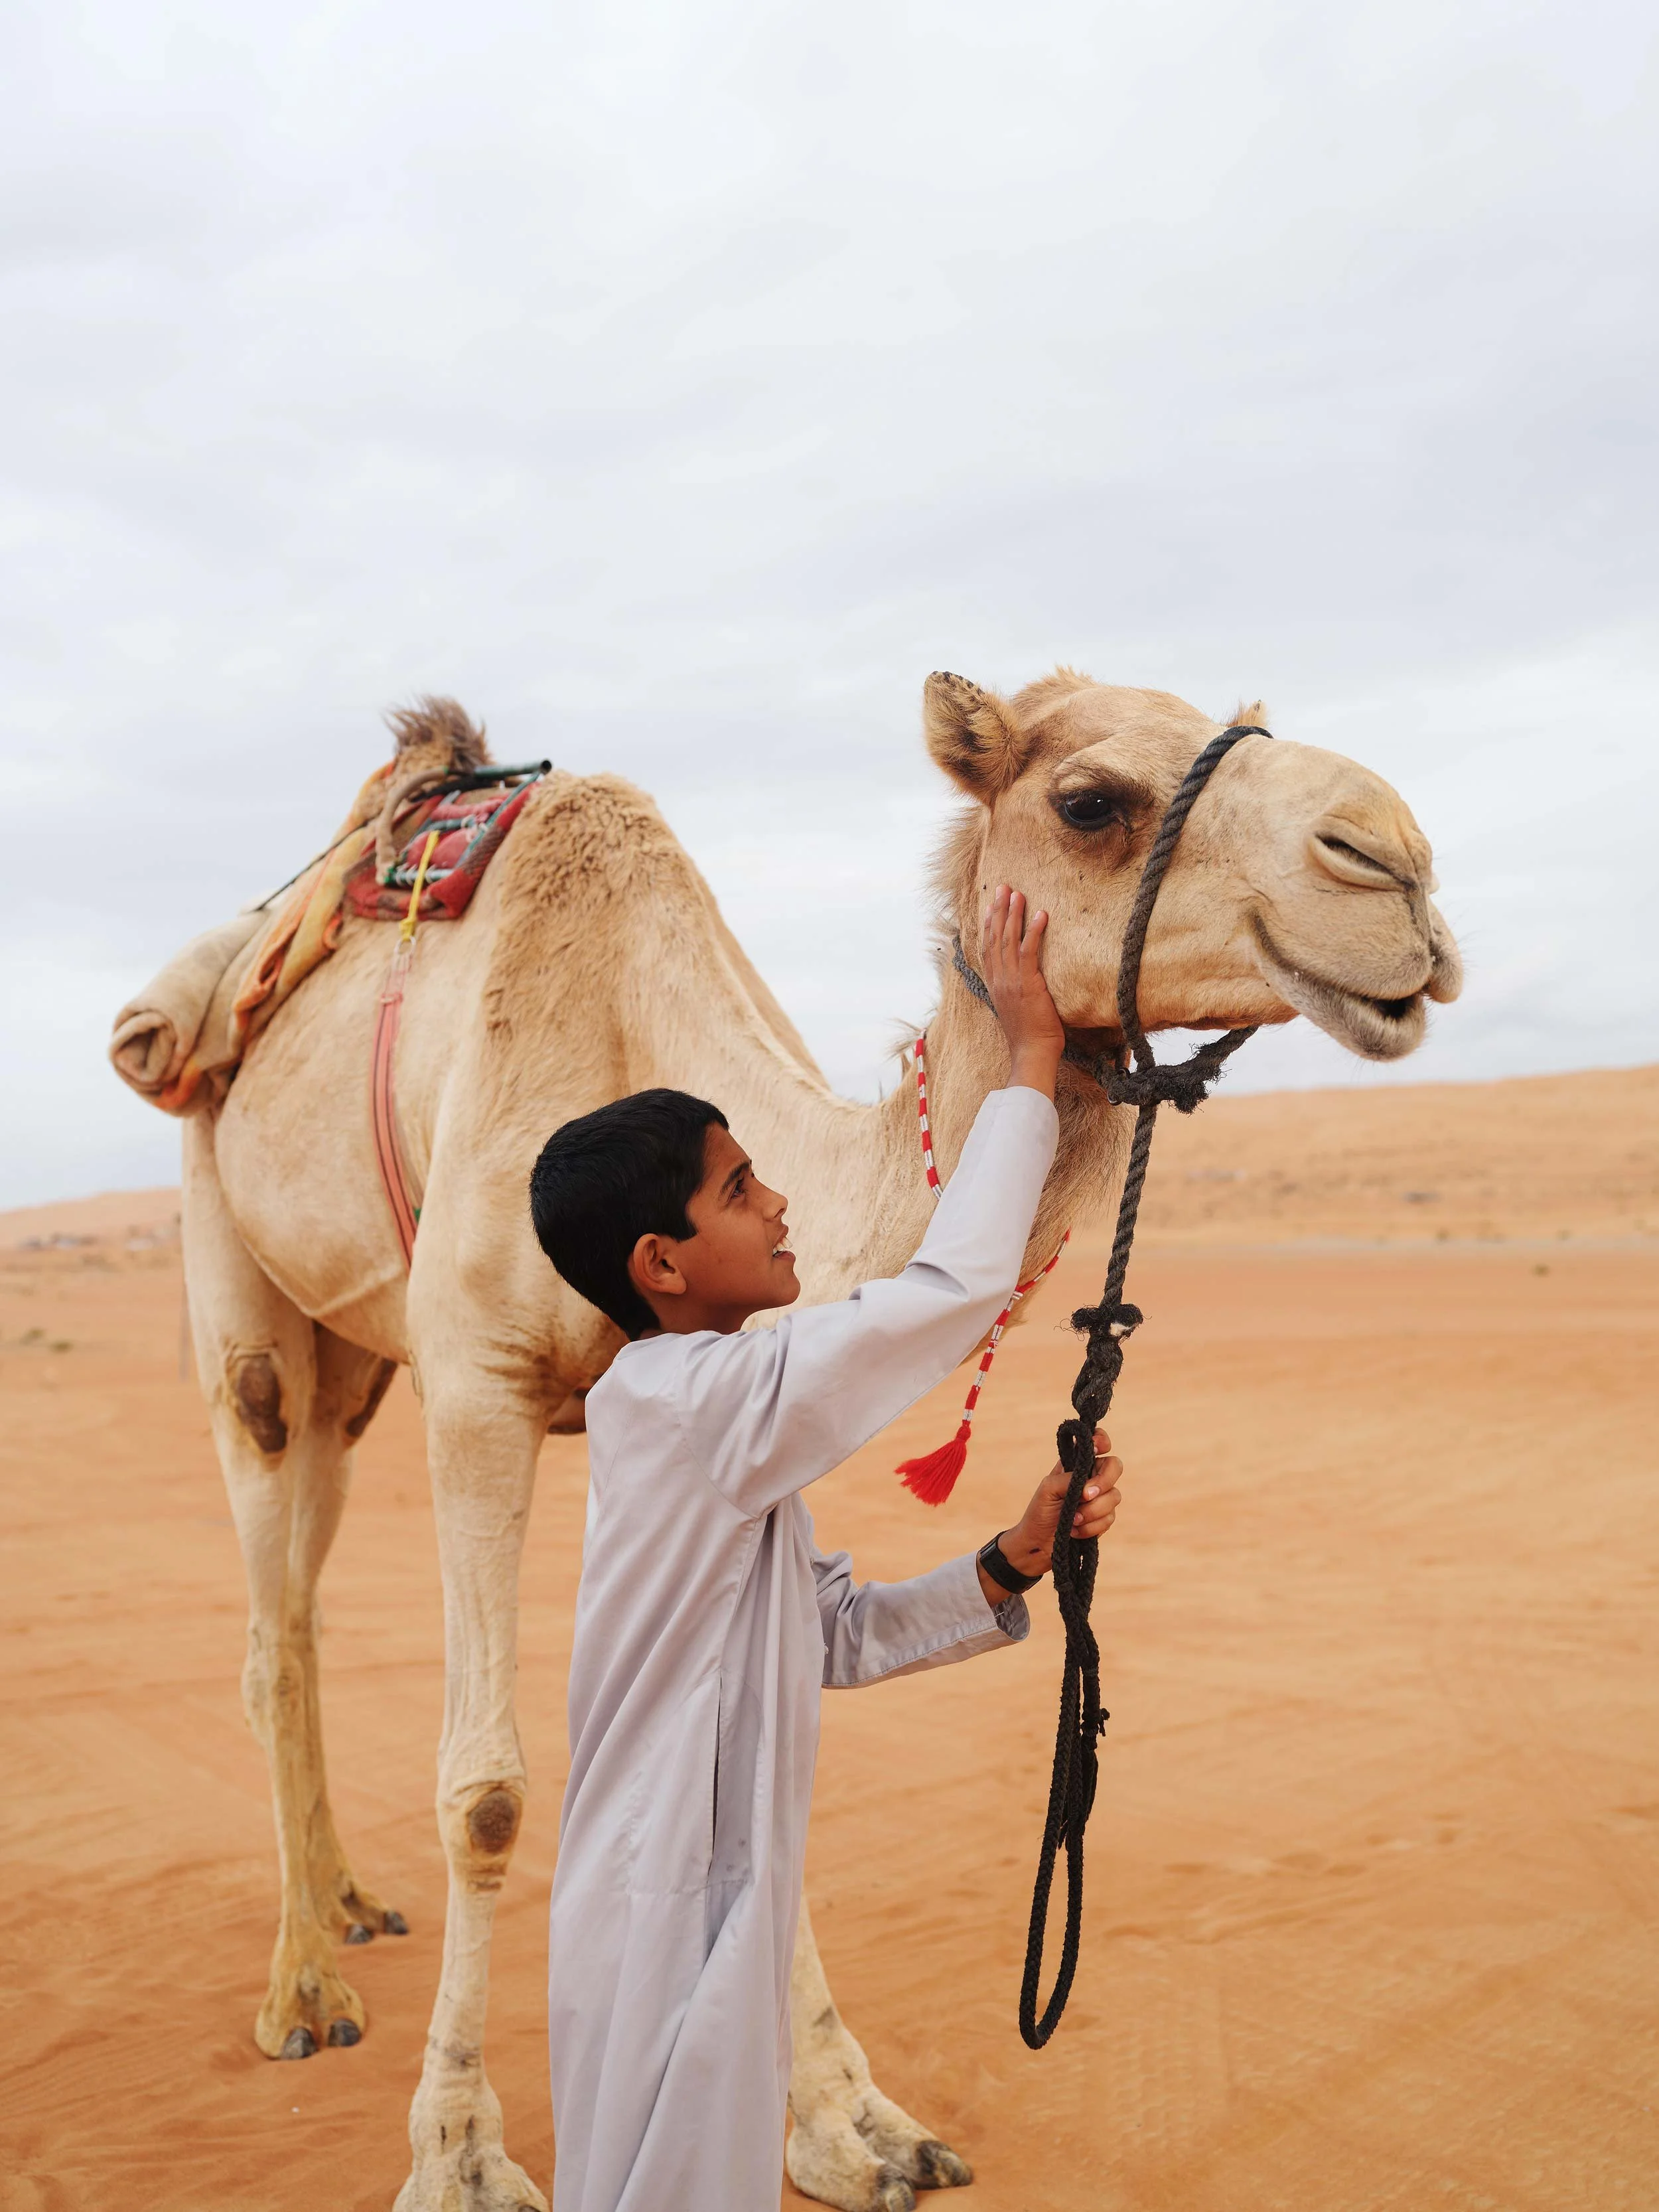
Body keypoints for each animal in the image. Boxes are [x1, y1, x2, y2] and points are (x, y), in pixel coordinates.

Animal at [162, 668, 1460, 2212]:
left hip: (357, 1363)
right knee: (268, 1592)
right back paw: (303, 1986)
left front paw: (852, 2125)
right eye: (1089, 801)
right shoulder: (475, 1376)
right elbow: (483, 1792)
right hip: (233, 1256)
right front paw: (461, 2156)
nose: (1397, 864)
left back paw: (353, 1908)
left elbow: (776, 1716)